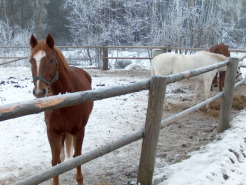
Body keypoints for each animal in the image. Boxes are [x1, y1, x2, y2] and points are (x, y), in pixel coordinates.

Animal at [28, 34, 93, 184]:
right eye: (31, 61)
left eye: (51, 60)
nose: (39, 92)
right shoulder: (52, 132)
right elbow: (55, 162)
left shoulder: (79, 131)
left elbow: (77, 157)